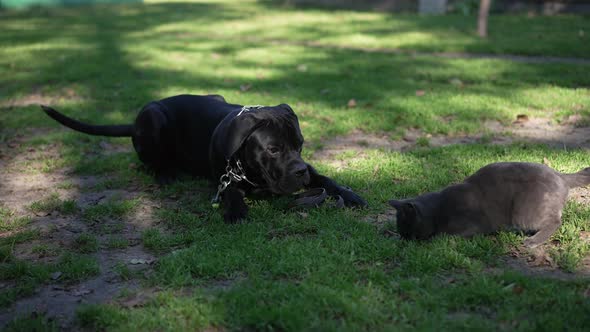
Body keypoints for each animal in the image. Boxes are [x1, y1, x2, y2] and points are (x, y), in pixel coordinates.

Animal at [41, 94, 368, 222]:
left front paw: (349, 194)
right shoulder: (224, 178)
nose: (299, 171)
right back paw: (165, 174)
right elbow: (231, 192)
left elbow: (326, 178)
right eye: (273, 150)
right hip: (153, 117)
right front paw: (237, 212)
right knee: (149, 162)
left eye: (300, 145)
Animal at [388, 161, 590, 246]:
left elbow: (444, 235)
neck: (438, 210)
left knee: (555, 221)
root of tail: (560, 175)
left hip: (525, 212)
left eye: (408, 231)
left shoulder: (470, 226)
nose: (404, 240)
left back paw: (532, 241)